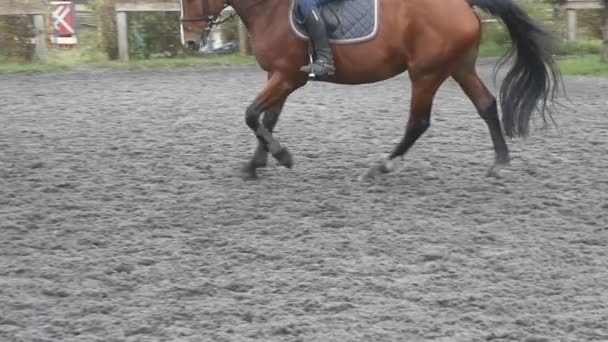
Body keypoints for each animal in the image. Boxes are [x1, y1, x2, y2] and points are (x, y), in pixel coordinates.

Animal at [179, 0, 560, 179]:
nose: (190, 42)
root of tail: (463, 5)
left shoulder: (287, 76)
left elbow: (252, 115)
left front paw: (282, 156)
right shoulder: (280, 76)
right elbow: (266, 120)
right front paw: (255, 165)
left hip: (426, 72)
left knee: (418, 122)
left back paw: (382, 166)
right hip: (459, 67)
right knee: (487, 105)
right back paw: (500, 163)